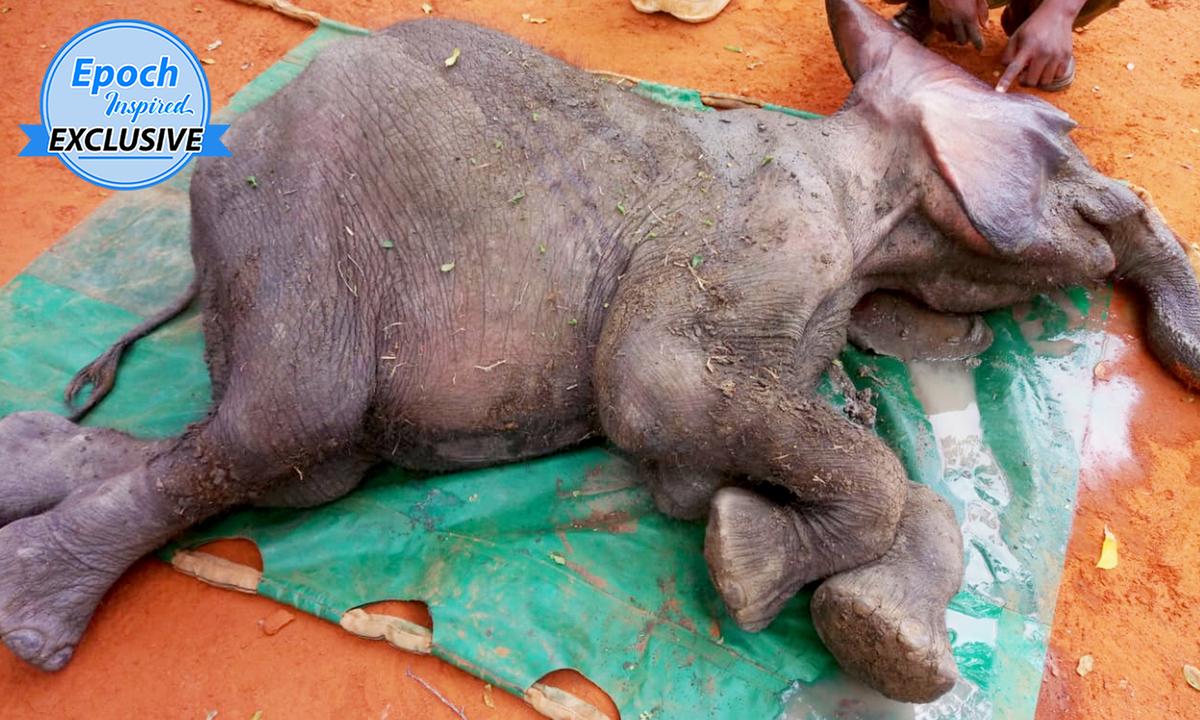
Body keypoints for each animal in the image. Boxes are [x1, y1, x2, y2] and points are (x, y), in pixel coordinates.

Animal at [1, 0, 1196, 704]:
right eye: (1065, 143)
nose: (1124, 213)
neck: (868, 194)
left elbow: (742, 459)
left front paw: (803, 577)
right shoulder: (758, 234)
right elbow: (656, 393)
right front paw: (751, 575)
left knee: (274, 456)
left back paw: (29, 467)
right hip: (303, 216)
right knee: (281, 425)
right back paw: (36, 621)